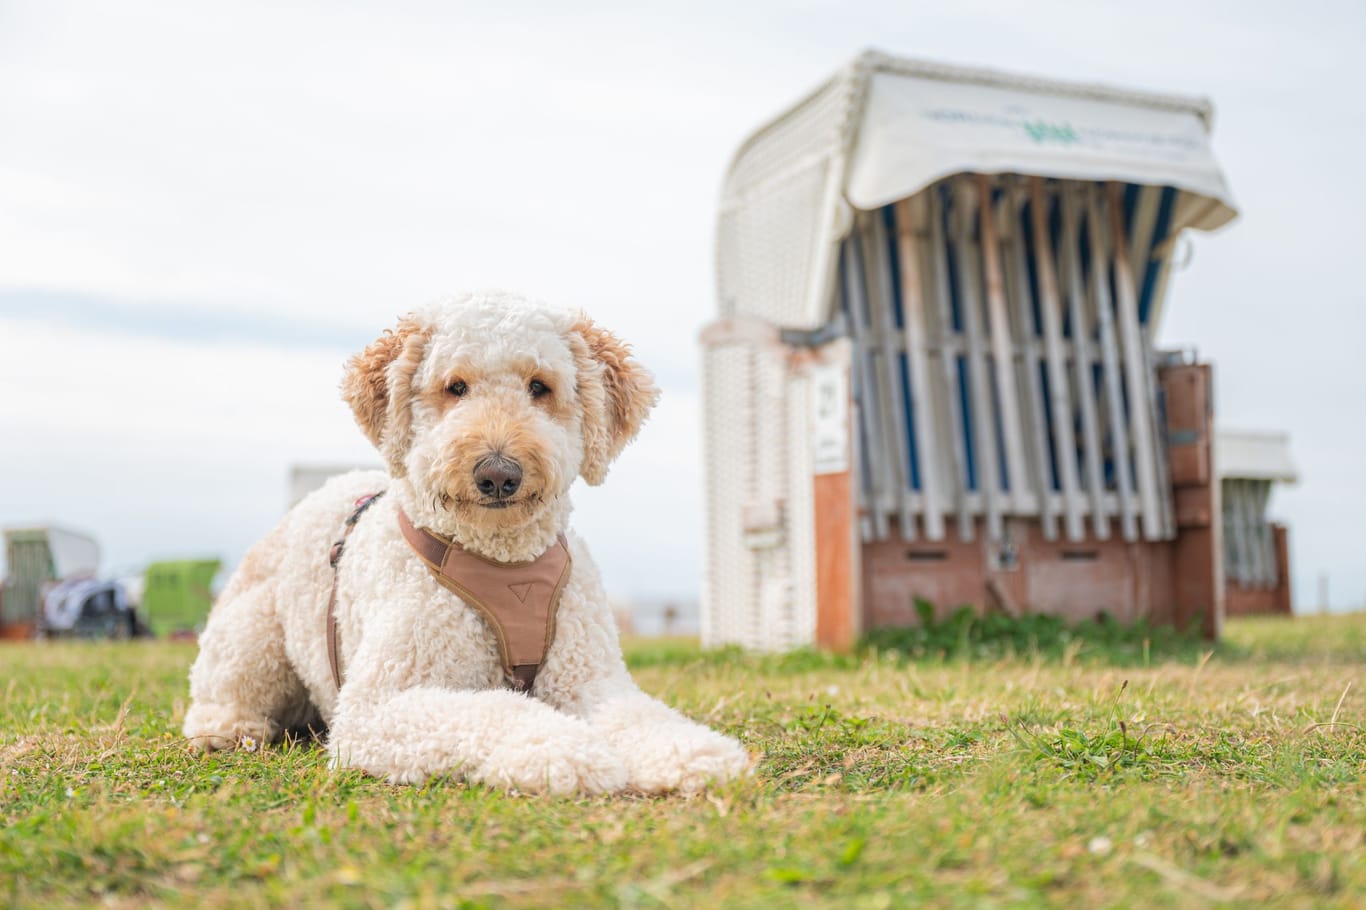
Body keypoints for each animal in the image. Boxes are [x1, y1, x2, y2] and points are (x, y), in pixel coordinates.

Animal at [181, 292, 748, 792]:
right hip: (250, 639)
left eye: (539, 386)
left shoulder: (590, 679)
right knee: (218, 696)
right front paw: (562, 751)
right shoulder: (379, 707)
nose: (498, 474)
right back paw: (227, 730)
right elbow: (499, 709)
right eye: (455, 387)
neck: (503, 562)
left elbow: (637, 715)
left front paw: (694, 752)